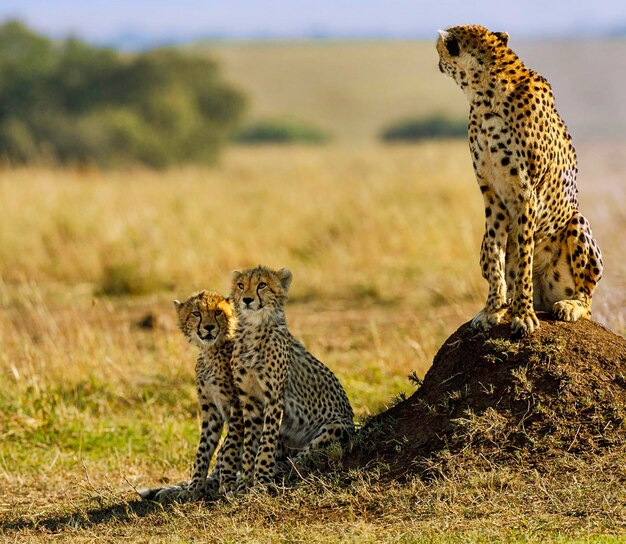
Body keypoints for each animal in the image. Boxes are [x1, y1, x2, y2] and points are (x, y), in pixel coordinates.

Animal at [434, 24, 600, 336]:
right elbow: (497, 255)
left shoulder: (526, 192)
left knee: (587, 298)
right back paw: (508, 303)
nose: (437, 62)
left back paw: (568, 306)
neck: (484, 96)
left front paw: (523, 315)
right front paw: (492, 309)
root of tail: (544, 297)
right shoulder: (491, 191)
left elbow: (524, 257)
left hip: (577, 221)